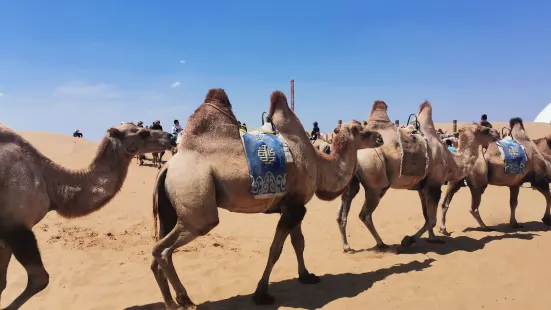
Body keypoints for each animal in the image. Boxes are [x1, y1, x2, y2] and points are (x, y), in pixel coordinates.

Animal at [0, 122, 176, 308]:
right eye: (143, 133)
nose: (170, 137)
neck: (49, 182)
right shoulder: (17, 226)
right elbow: (39, 279)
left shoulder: (6, 235)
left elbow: (2, 282)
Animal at [150, 88, 384, 308]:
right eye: (362, 131)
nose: (380, 137)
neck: (318, 165)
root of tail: (168, 167)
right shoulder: (294, 208)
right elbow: (275, 250)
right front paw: (261, 293)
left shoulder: (294, 205)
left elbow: (299, 243)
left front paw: (306, 276)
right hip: (197, 203)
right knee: (163, 250)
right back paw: (185, 299)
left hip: (171, 209)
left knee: (157, 253)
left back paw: (171, 302)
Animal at [336, 100, 500, 253]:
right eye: (485, 129)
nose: (497, 133)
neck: (451, 160)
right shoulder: (435, 185)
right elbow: (432, 219)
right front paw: (407, 240)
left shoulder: (422, 187)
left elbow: (426, 215)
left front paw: (433, 238)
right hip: (377, 185)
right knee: (365, 215)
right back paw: (382, 244)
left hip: (352, 182)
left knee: (342, 213)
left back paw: (346, 246)